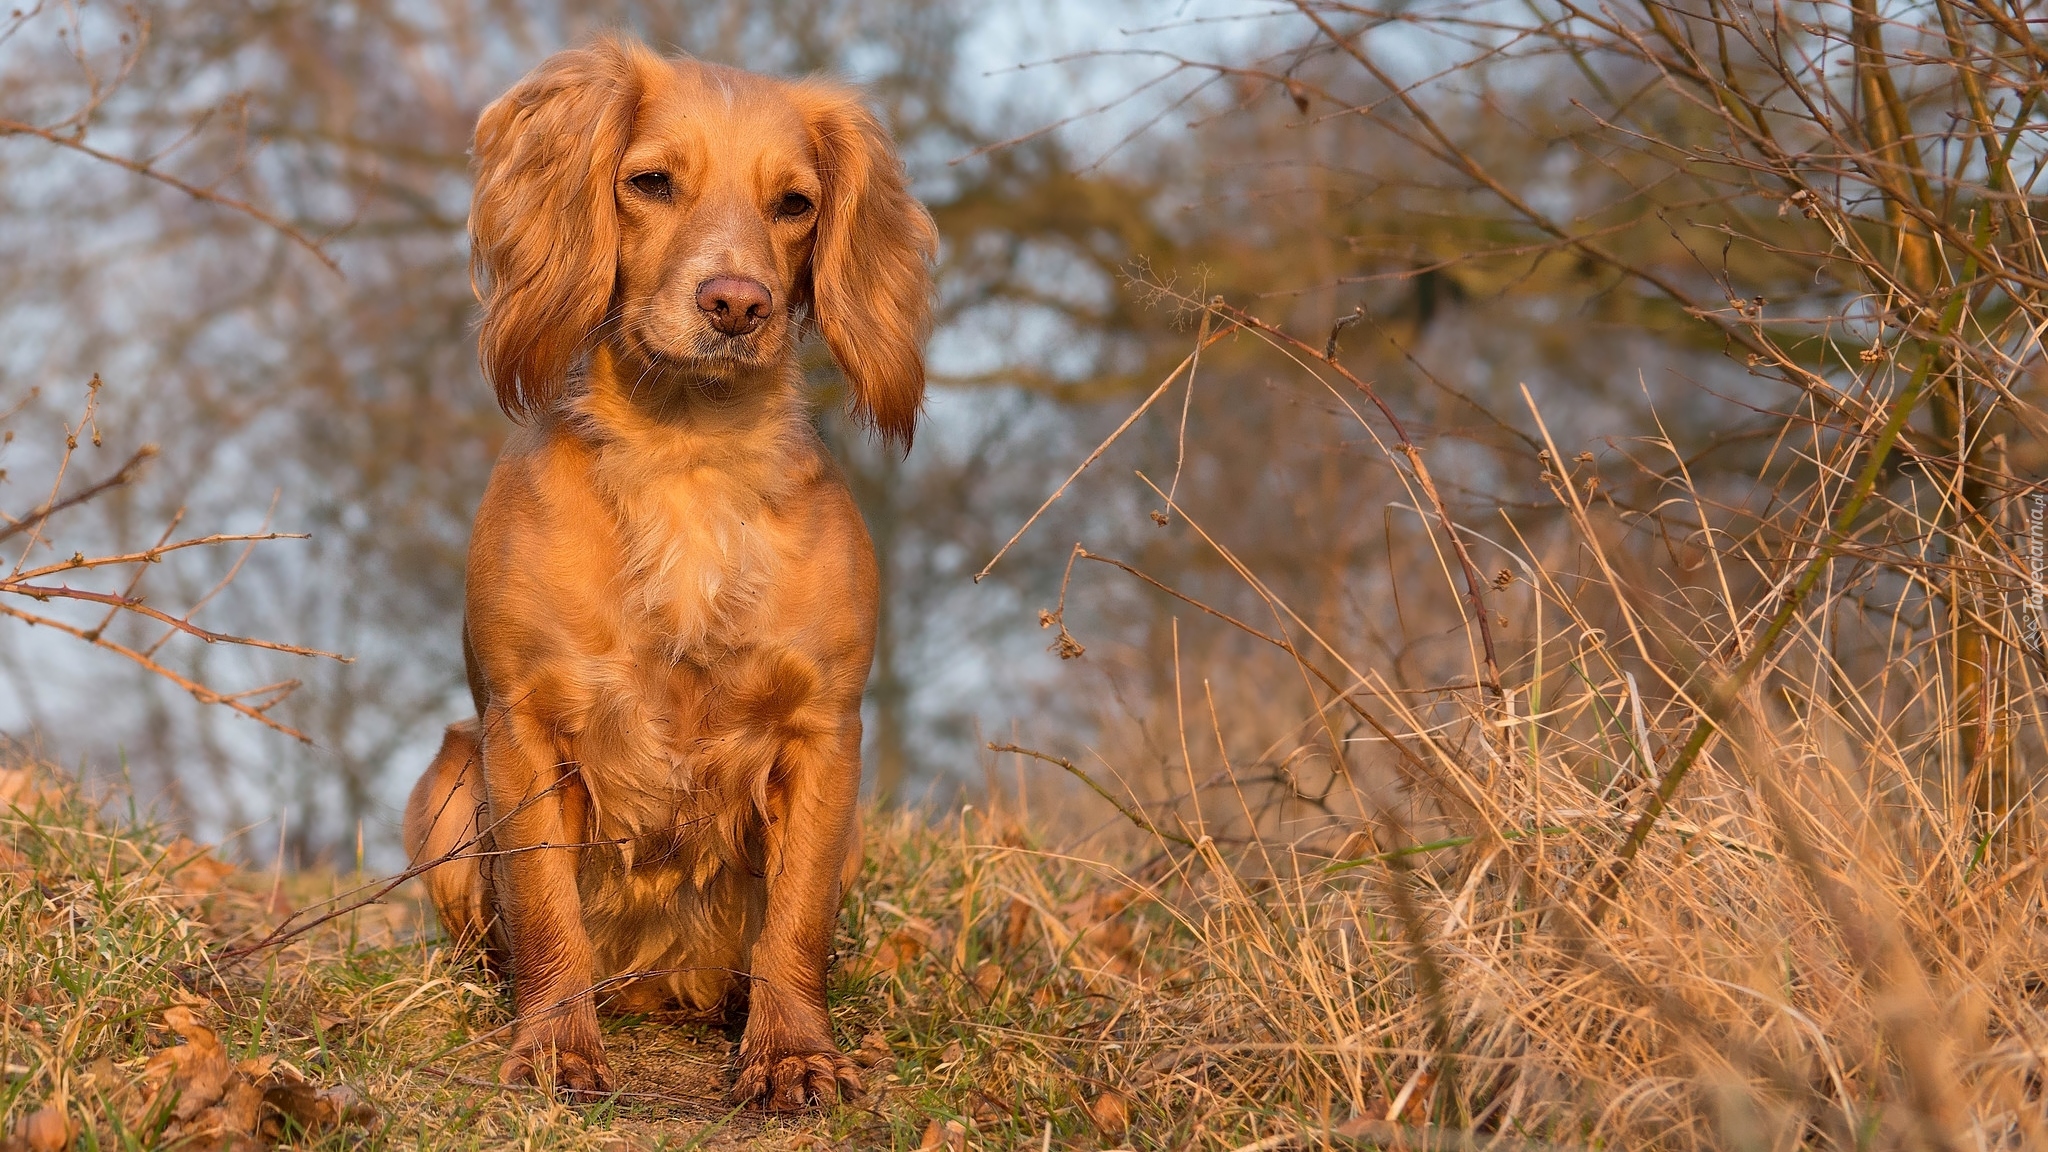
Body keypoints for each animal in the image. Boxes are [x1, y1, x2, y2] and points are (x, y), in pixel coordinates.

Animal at [397, 35, 937, 1106]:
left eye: (795, 203)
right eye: (650, 182)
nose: (737, 304)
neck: (688, 453)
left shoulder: (825, 732)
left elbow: (797, 921)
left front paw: (793, 1053)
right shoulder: (522, 722)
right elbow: (546, 909)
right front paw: (555, 1048)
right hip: (443, 784)